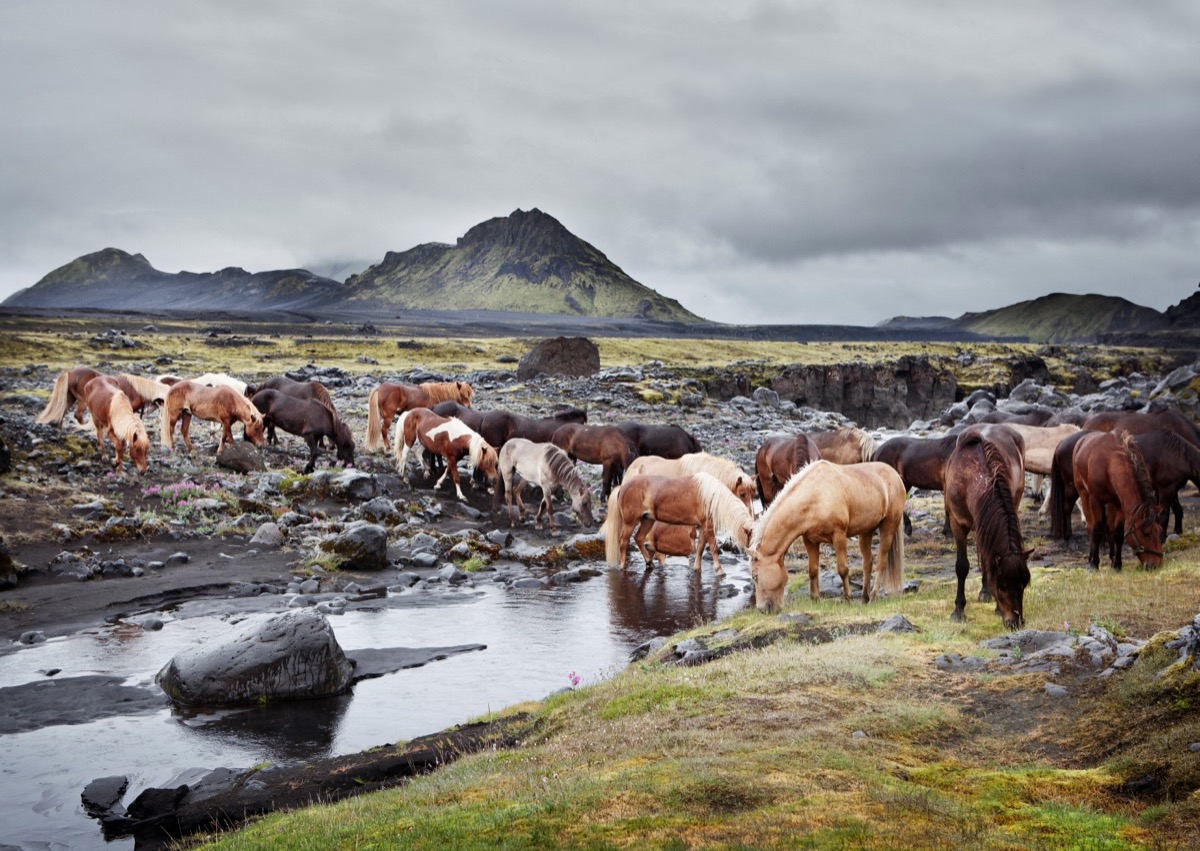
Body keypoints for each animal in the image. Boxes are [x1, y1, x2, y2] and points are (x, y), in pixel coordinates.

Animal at [602, 472, 754, 574]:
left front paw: (697, 568)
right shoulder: (708, 527)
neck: (710, 495)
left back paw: (650, 563)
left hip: (647, 520)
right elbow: (714, 548)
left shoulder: (704, 527)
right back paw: (623, 566)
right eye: (742, 493)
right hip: (630, 522)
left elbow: (700, 548)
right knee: (623, 541)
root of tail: (622, 487)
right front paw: (720, 570)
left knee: (638, 538)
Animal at [747, 460, 905, 612]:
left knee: (881, 563)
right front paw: (815, 598)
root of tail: (895, 476)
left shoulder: (839, 535)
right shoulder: (809, 541)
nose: (762, 609)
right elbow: (813, 570)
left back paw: (872, 596)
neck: (816, 496)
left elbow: (842, 569)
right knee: (867, 563)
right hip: (866, 531)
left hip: (888, 527)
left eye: (755, 576)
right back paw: (864, 598)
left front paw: (848, 598)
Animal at [944, 424, 1031, 630]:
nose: (1016, 622)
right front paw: (958, 610)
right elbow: (962, 566)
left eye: (1024, 584)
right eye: (1002, 585)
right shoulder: (957, 524)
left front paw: (997, 608)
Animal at [1072, 430, 1164, 571]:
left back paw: (1112, 557)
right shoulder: (1095, 500)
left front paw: (1117, 564)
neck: (1110, 462)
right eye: (1146, 533)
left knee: (1110, 528)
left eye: (1160, 531)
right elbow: (1096, 531)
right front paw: (1094, 564)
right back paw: (1091, 558)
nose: (1156, 564)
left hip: (1111, 503)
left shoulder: (1121, 505)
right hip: (1084, 493)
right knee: (1090, 528)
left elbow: (1118, 534)